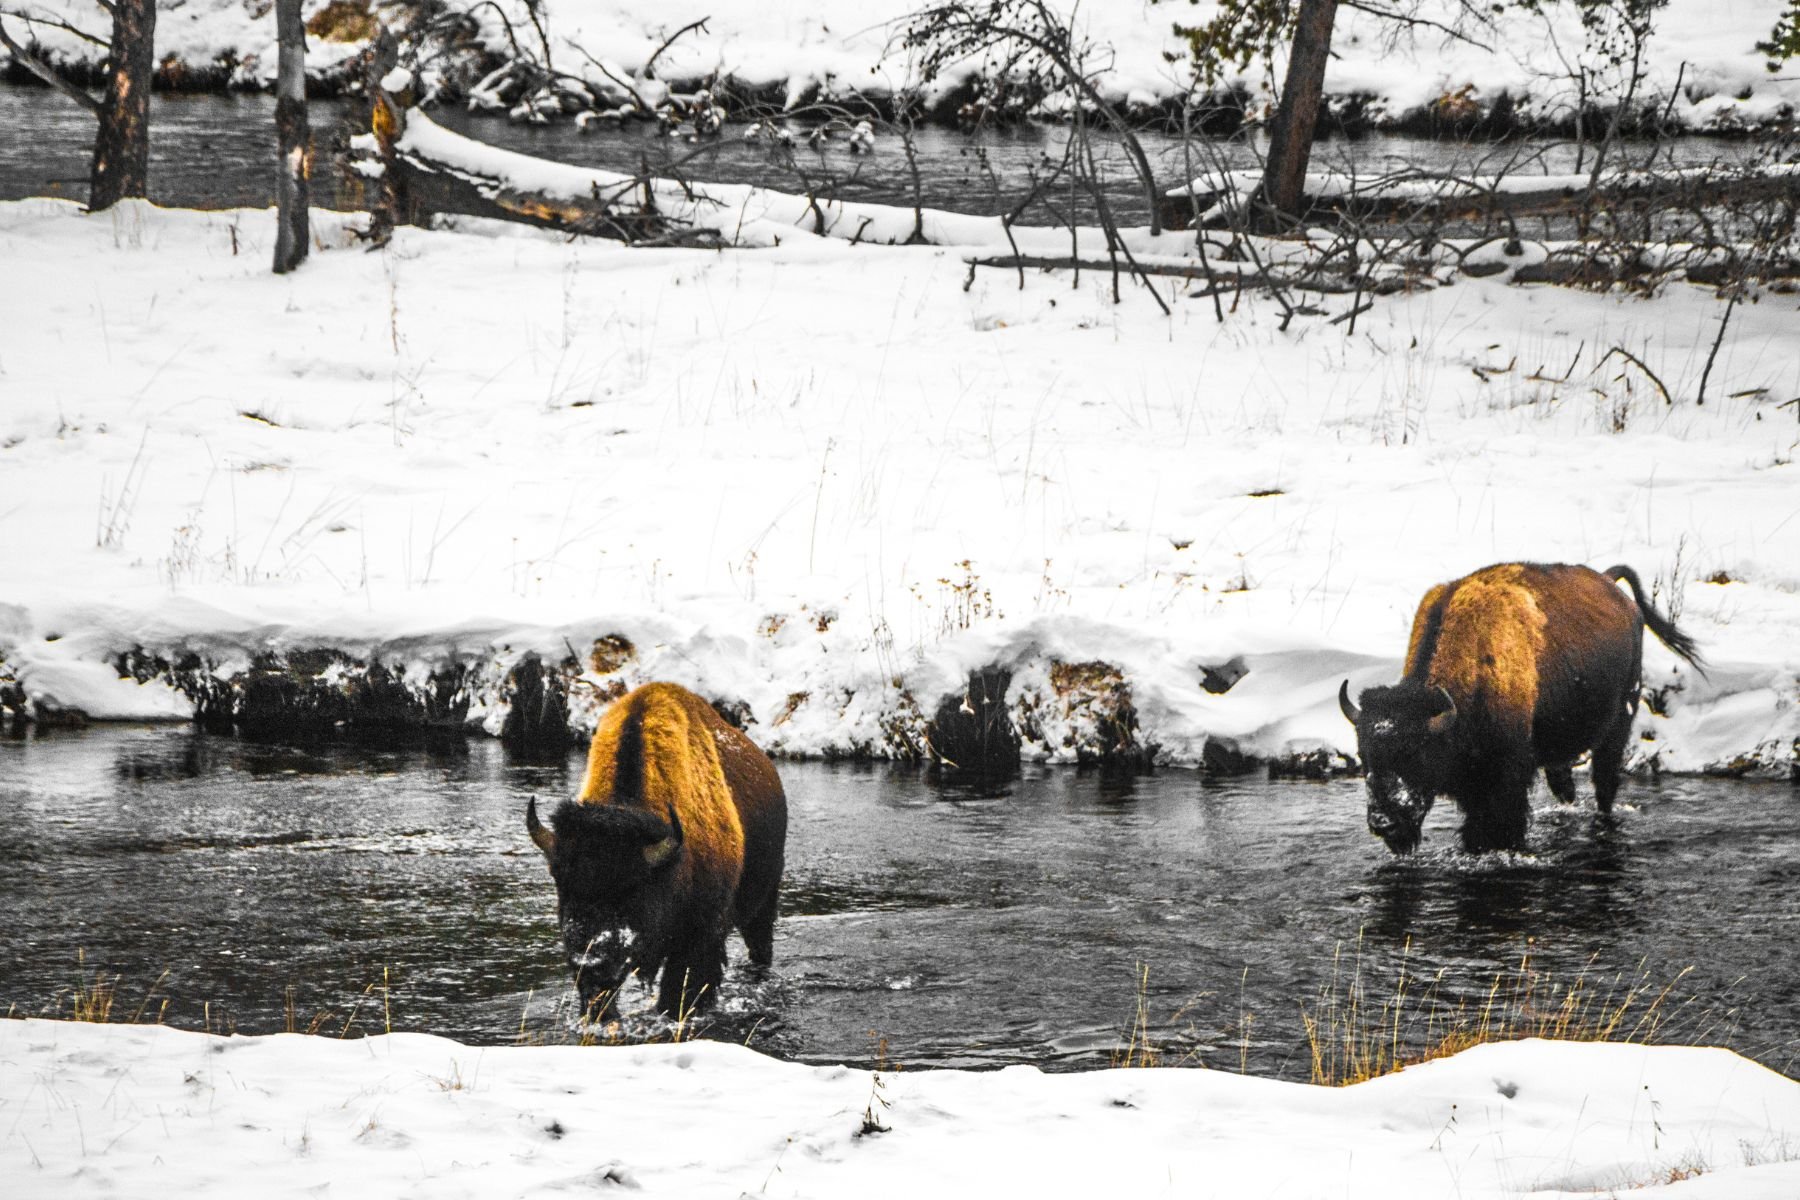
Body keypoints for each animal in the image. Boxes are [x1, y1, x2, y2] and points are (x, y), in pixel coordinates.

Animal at [529, 683, 792, 1021]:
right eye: (560, 881)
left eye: (631, 888)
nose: (588, 960)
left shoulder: (699, 937)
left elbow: (680, 989)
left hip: (763, 902)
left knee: (760, 946)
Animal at [1339, 564, 1699, 852]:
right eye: (1364, 756)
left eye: (1413, 754)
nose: (1383, 823)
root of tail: (1614, 587)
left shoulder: (1506, 778)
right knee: (1564, 783)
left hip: (1620, 721)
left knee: (1604, 780)